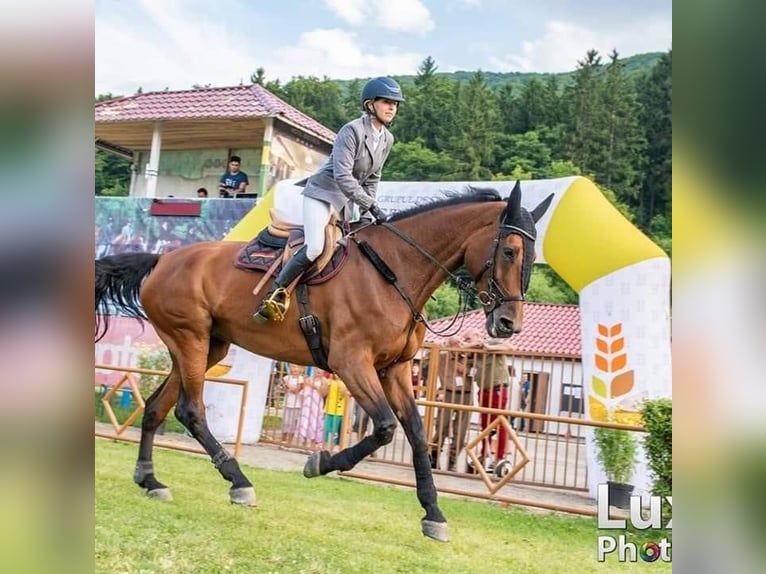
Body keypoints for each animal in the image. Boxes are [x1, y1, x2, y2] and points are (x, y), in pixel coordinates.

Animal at [94, 182, 552, 544]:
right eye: (509, 251)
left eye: (532, 255)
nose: (509, 324)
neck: (394, 272)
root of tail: (162, 260)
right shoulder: (351, 362)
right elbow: (384, 428)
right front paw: (320, 463)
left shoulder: (396, 369)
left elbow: (417, 435)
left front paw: (434, 515)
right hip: (190, 339)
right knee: (190, 410)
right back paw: (238, 482)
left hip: (208, 347)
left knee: (156, 407)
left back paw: (150, 480)